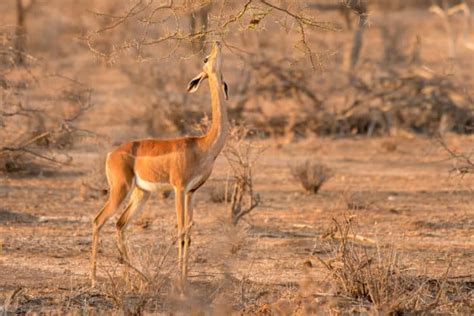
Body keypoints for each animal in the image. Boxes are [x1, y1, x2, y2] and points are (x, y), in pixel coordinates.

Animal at [90, 40, 230, 290]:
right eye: (205, 58)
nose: (216, 42)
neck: (203, 145)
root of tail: (111, 153)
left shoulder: (192, 192)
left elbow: (189, 233)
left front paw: (186, 280)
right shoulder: (179, 188)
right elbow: (181, 231)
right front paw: (181, 285)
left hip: (141, 193)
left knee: (120, 224)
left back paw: (131, 278)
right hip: (120, 190)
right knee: (98, 221)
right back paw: (94, 279)